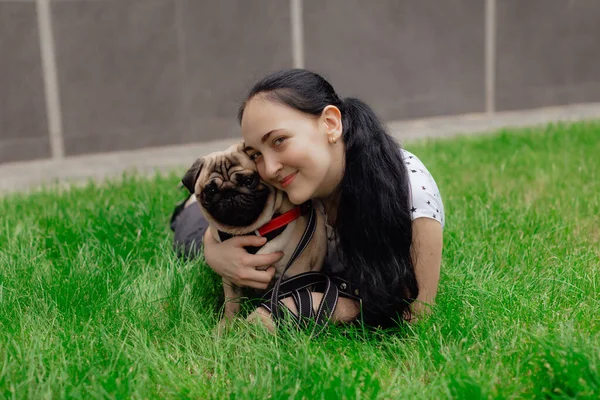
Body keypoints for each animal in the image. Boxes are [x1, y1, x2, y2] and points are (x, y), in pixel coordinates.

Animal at [182, 142, 328, 320]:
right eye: (210, 190)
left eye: (249, 180)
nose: (230, 193)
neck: (251, 229)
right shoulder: (231, 276)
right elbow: (231, 303)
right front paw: (228, 324)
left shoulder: (295, 274)